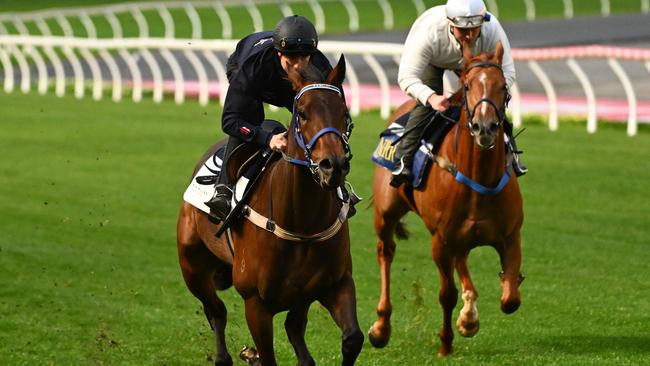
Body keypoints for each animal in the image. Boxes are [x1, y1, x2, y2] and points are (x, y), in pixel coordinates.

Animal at [175, 55, 362, 366]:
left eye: (344, 114)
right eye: (303, 114)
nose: (333, 166)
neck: (302, 222)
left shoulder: (334, 284)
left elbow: (352, 339)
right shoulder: (256, 302)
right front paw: (253, 354)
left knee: (294, 329)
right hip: (193, 268)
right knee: (216, 312)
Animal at [368, 41, 524, 356]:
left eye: (503, 86)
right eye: (467, 85)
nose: (485, 127)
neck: (479, 180)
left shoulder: (511, 235)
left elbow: (510, 298)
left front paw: (468, 320)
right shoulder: (440, 240)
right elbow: (446, 294)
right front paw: (445, 342)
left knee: (462, 260)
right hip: (386, 214)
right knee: (385, 252)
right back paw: (381, 327)